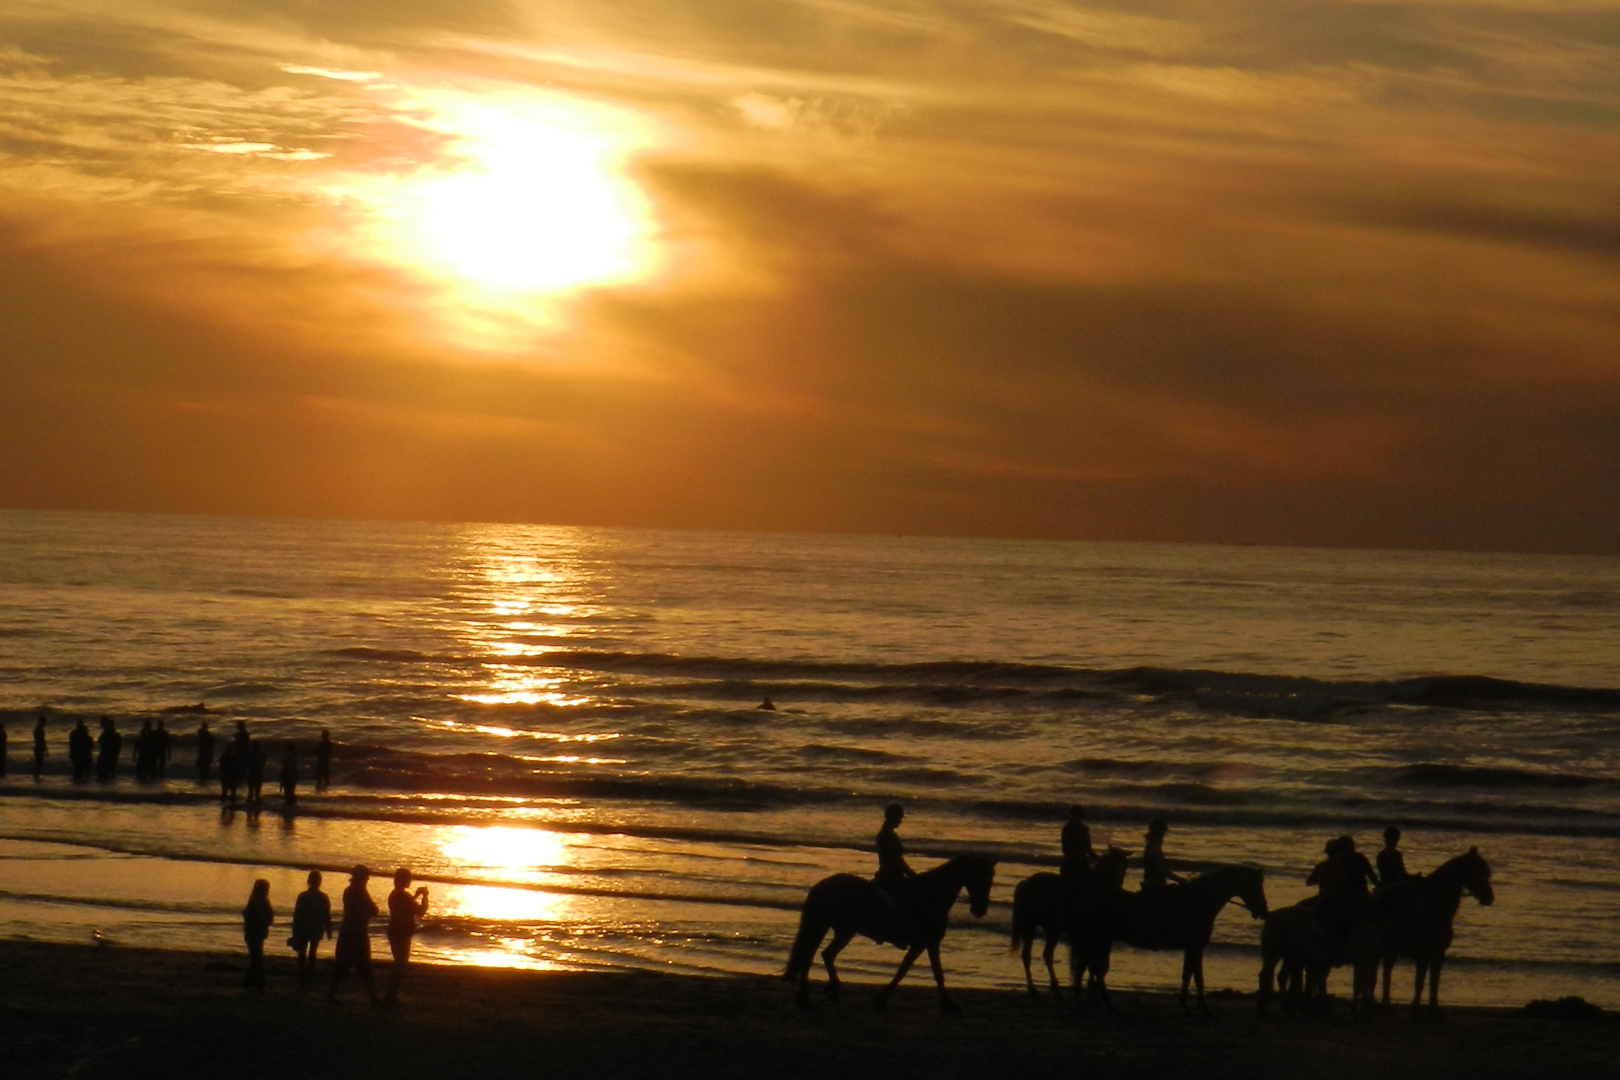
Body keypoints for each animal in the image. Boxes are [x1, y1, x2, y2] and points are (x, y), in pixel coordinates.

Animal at [780, 854, 991, 1016]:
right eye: (981, 879)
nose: (980, 910)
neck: (931, 896)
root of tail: (820, 885)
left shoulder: (928, 943)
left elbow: (932, 973)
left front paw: (947, 1006)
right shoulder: (923, 943)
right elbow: (908, 971)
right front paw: (881, 1000)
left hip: (842, 930)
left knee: (825, 955)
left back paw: (827, 992)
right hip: (826, 926)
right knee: (810, 957)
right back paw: (807, 999)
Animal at [1004, 848, 1134, 1003]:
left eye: (1124, 865)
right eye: (1112, 865)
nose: (1118, 884)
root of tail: (1026, 883)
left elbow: (1091, 962)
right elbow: (1091, 963)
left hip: (1048, 928)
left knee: (1040, 955)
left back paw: (1050, 990)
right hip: (1032, 926)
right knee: (1034, 955)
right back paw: (1040, 990)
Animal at [1075, 861, 1263, 1016]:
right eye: (1255, 886)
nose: (1262, 911)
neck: (1197, 902)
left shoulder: (1191, 948)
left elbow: (1188, 975)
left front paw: (1185, 1004)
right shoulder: (1195, 947)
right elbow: (1198, 977)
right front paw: (1202, 1007)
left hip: (1100, 940)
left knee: (1091, 969)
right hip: (1100, 940)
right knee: (1093, 969)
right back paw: (1100, 1004)